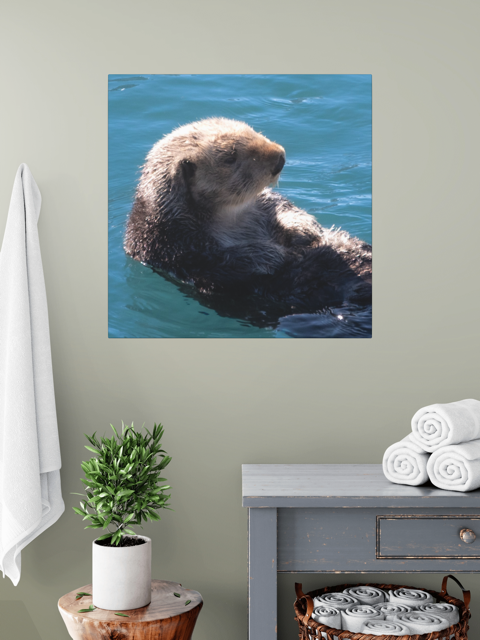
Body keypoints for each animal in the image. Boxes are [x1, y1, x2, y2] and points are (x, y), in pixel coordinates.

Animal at [124, 118, 372, 313]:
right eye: (230, 158)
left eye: (252, 130)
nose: (279, 158)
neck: (231, 215)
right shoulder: (174, 248)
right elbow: (222, 262)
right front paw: (274, 254)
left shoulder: (262, 203)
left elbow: (283, 206)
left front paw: (304, 229)